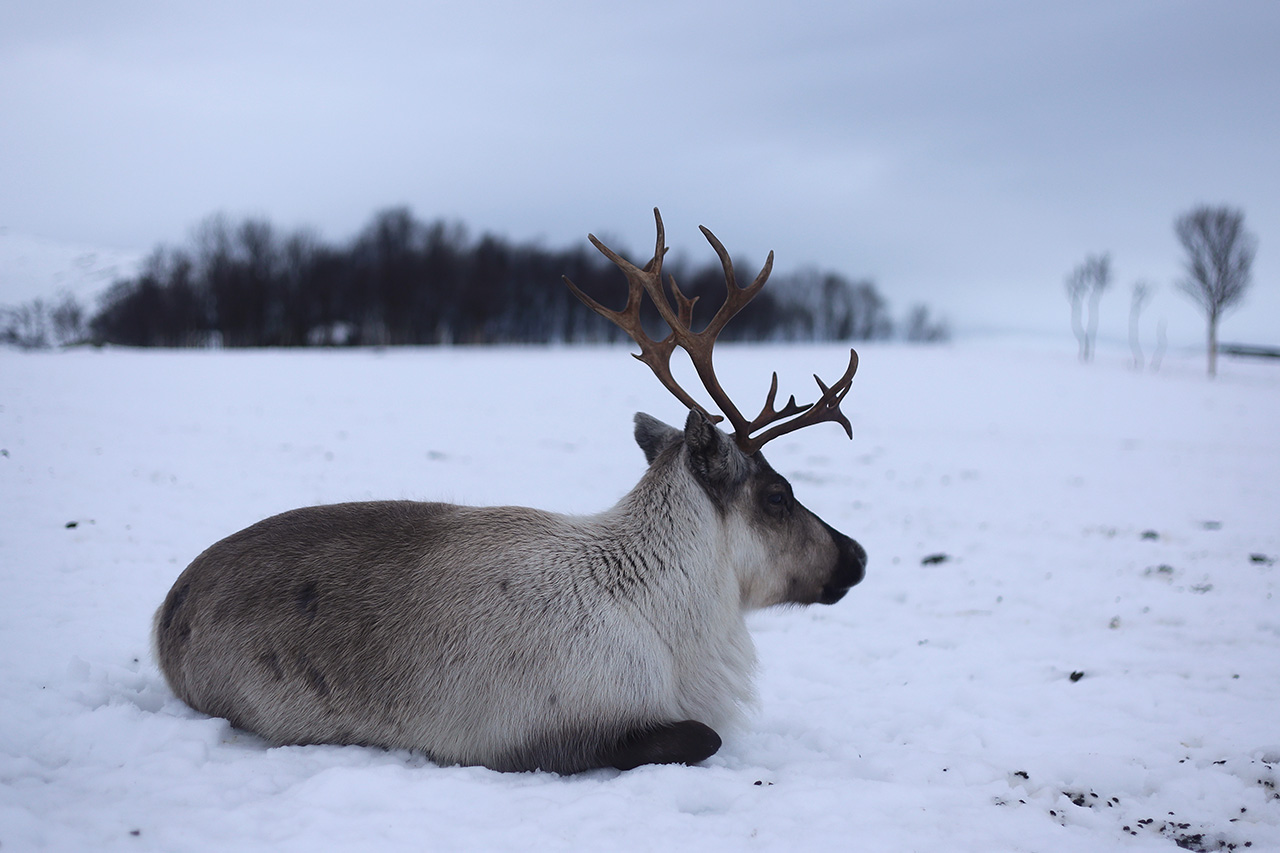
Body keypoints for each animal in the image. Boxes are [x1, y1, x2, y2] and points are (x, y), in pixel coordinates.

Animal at [153, 208, 866, 774]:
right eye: (777, 495)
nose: (857, 556)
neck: (668, 621)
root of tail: (166, 608)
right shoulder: (542, 737)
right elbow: (703, 737)